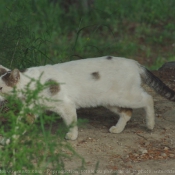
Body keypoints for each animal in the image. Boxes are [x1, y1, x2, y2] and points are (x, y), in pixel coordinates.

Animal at [0, 56, 175, 140]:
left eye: (0, 88)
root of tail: (135, 62)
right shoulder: (30, 110)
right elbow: (18, 126)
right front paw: (9, 140)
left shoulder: (66, 106)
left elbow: (72, 123)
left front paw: (72, 136)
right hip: (110, 100)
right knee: (127, 112)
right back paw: (117, 129)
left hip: (126, 96)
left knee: (148, 99)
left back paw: (150, 124)